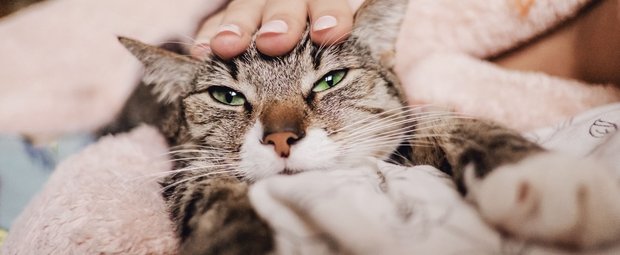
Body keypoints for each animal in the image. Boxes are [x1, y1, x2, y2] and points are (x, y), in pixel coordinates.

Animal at [105, 0, 620, 253]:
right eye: (226, 97)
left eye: (330, 80)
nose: (280, 138)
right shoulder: (185, 171)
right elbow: (214, 196)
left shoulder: (405, 130)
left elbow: (450, 121)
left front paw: (544, 178)